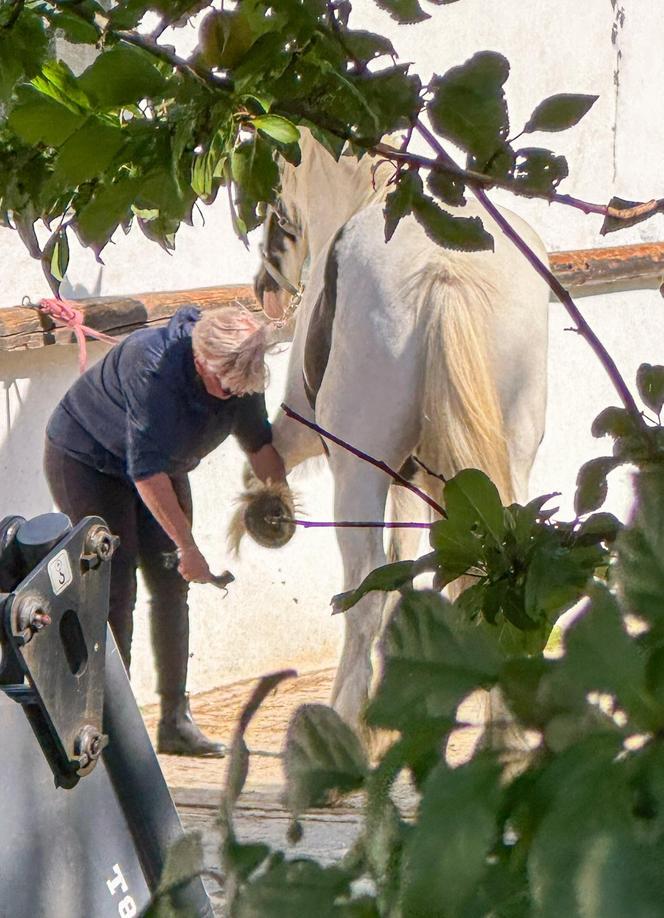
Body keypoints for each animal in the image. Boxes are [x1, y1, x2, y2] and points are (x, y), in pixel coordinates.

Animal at [252, 131, 548, 740]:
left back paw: (347, 722)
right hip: (509, 458)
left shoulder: (300, 429)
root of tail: (443, 266)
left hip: (357, 475)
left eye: (274, 208)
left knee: (363, 591)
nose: (264, 289)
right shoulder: (423, 479)